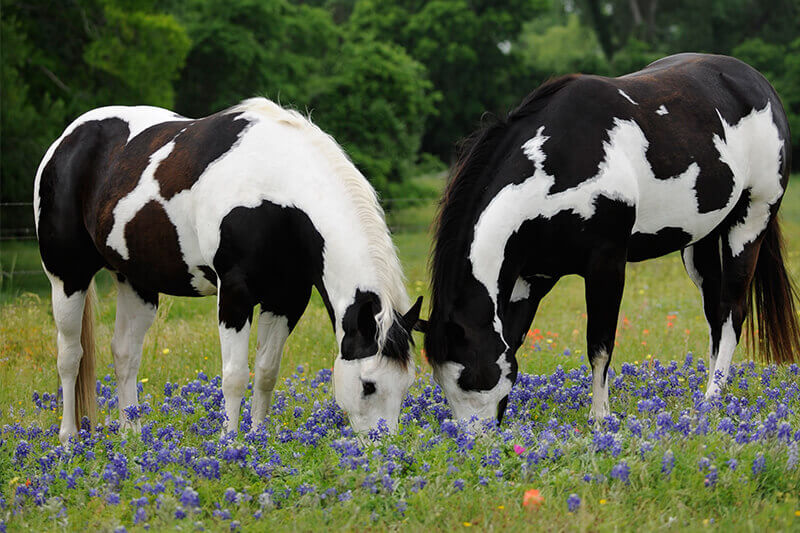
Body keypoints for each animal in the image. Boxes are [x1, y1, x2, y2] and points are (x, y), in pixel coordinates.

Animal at [34, 96, 422, 444]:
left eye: (406, 383)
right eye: (368, 385)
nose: (384, 448)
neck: (277, 187)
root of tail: (67, 139)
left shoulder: (287, 299)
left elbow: (266, 372)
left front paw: (258, 437)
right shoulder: (235, 293)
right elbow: (235, 375)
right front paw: (229, 442)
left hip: (136, 282)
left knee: (125, 353)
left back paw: (132, 434)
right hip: (67, 277)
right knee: (70, 356)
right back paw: (68, 438)